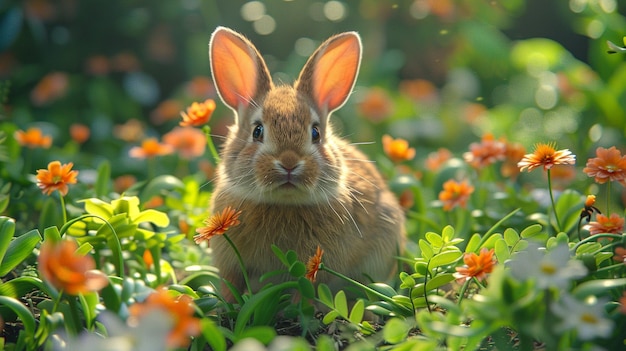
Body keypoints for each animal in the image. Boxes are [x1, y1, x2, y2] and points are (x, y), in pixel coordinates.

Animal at [207, 26, 404, 302]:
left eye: (315, 133)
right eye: (257, 131)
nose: (289, 162)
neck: (283, 204)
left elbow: (306, 290)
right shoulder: (230, 264)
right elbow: (230, 286)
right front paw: (226, 305)